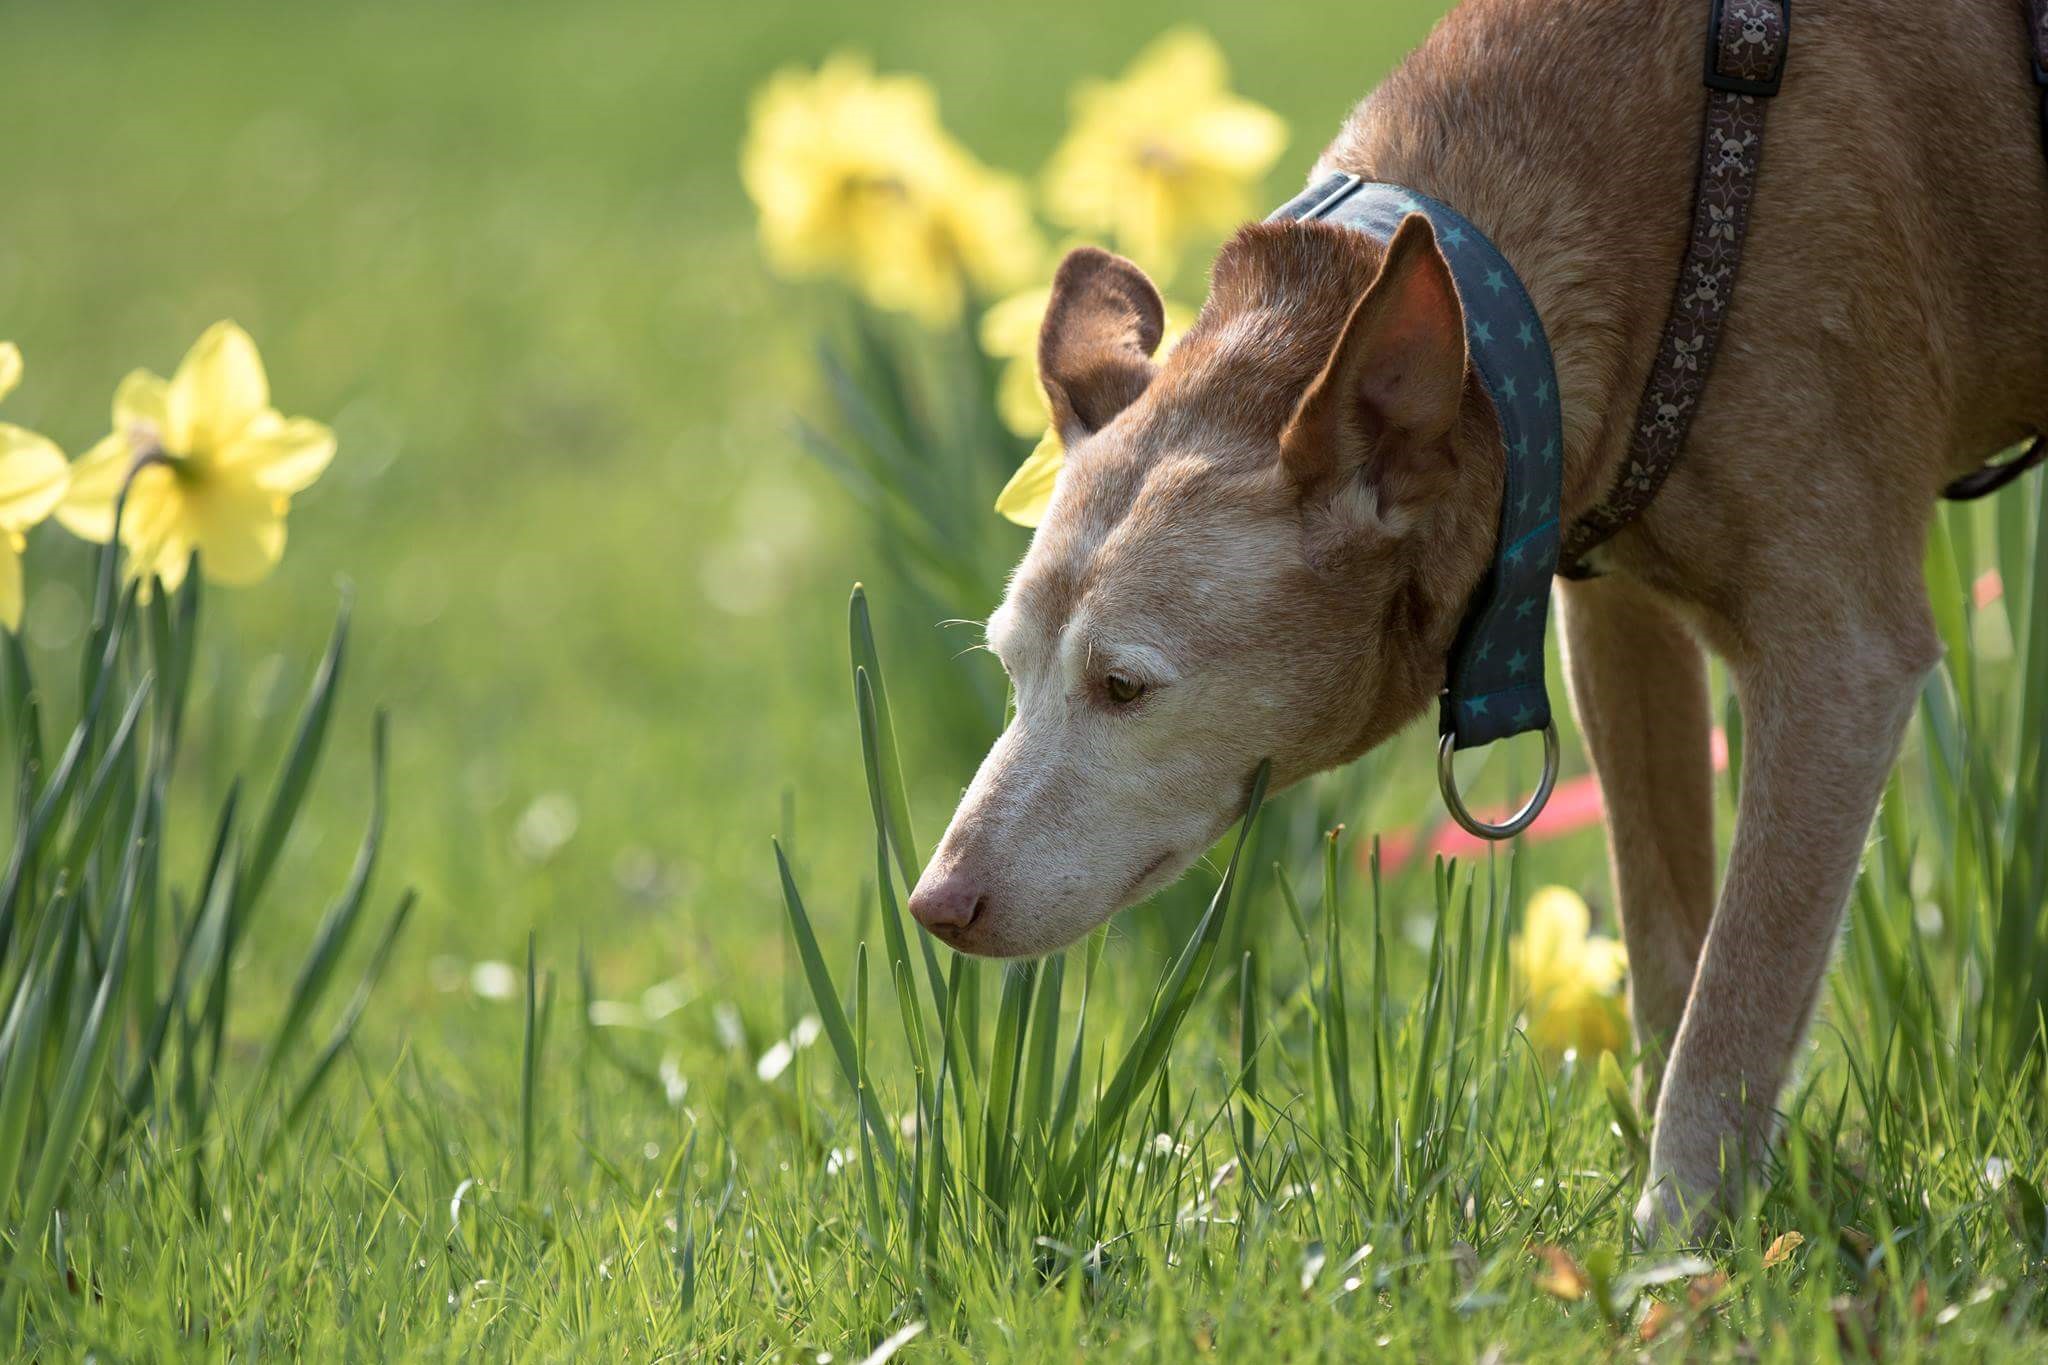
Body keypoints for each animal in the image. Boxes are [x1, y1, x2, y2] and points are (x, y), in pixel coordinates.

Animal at [909, 0, 2048, 1236]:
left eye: (1122, 687)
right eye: (1010, 669)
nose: (935, 904)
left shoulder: (1840, 660)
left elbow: (1737, 994)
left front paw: (1674, 1243)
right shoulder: (1616, 631)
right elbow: (1667, 956)